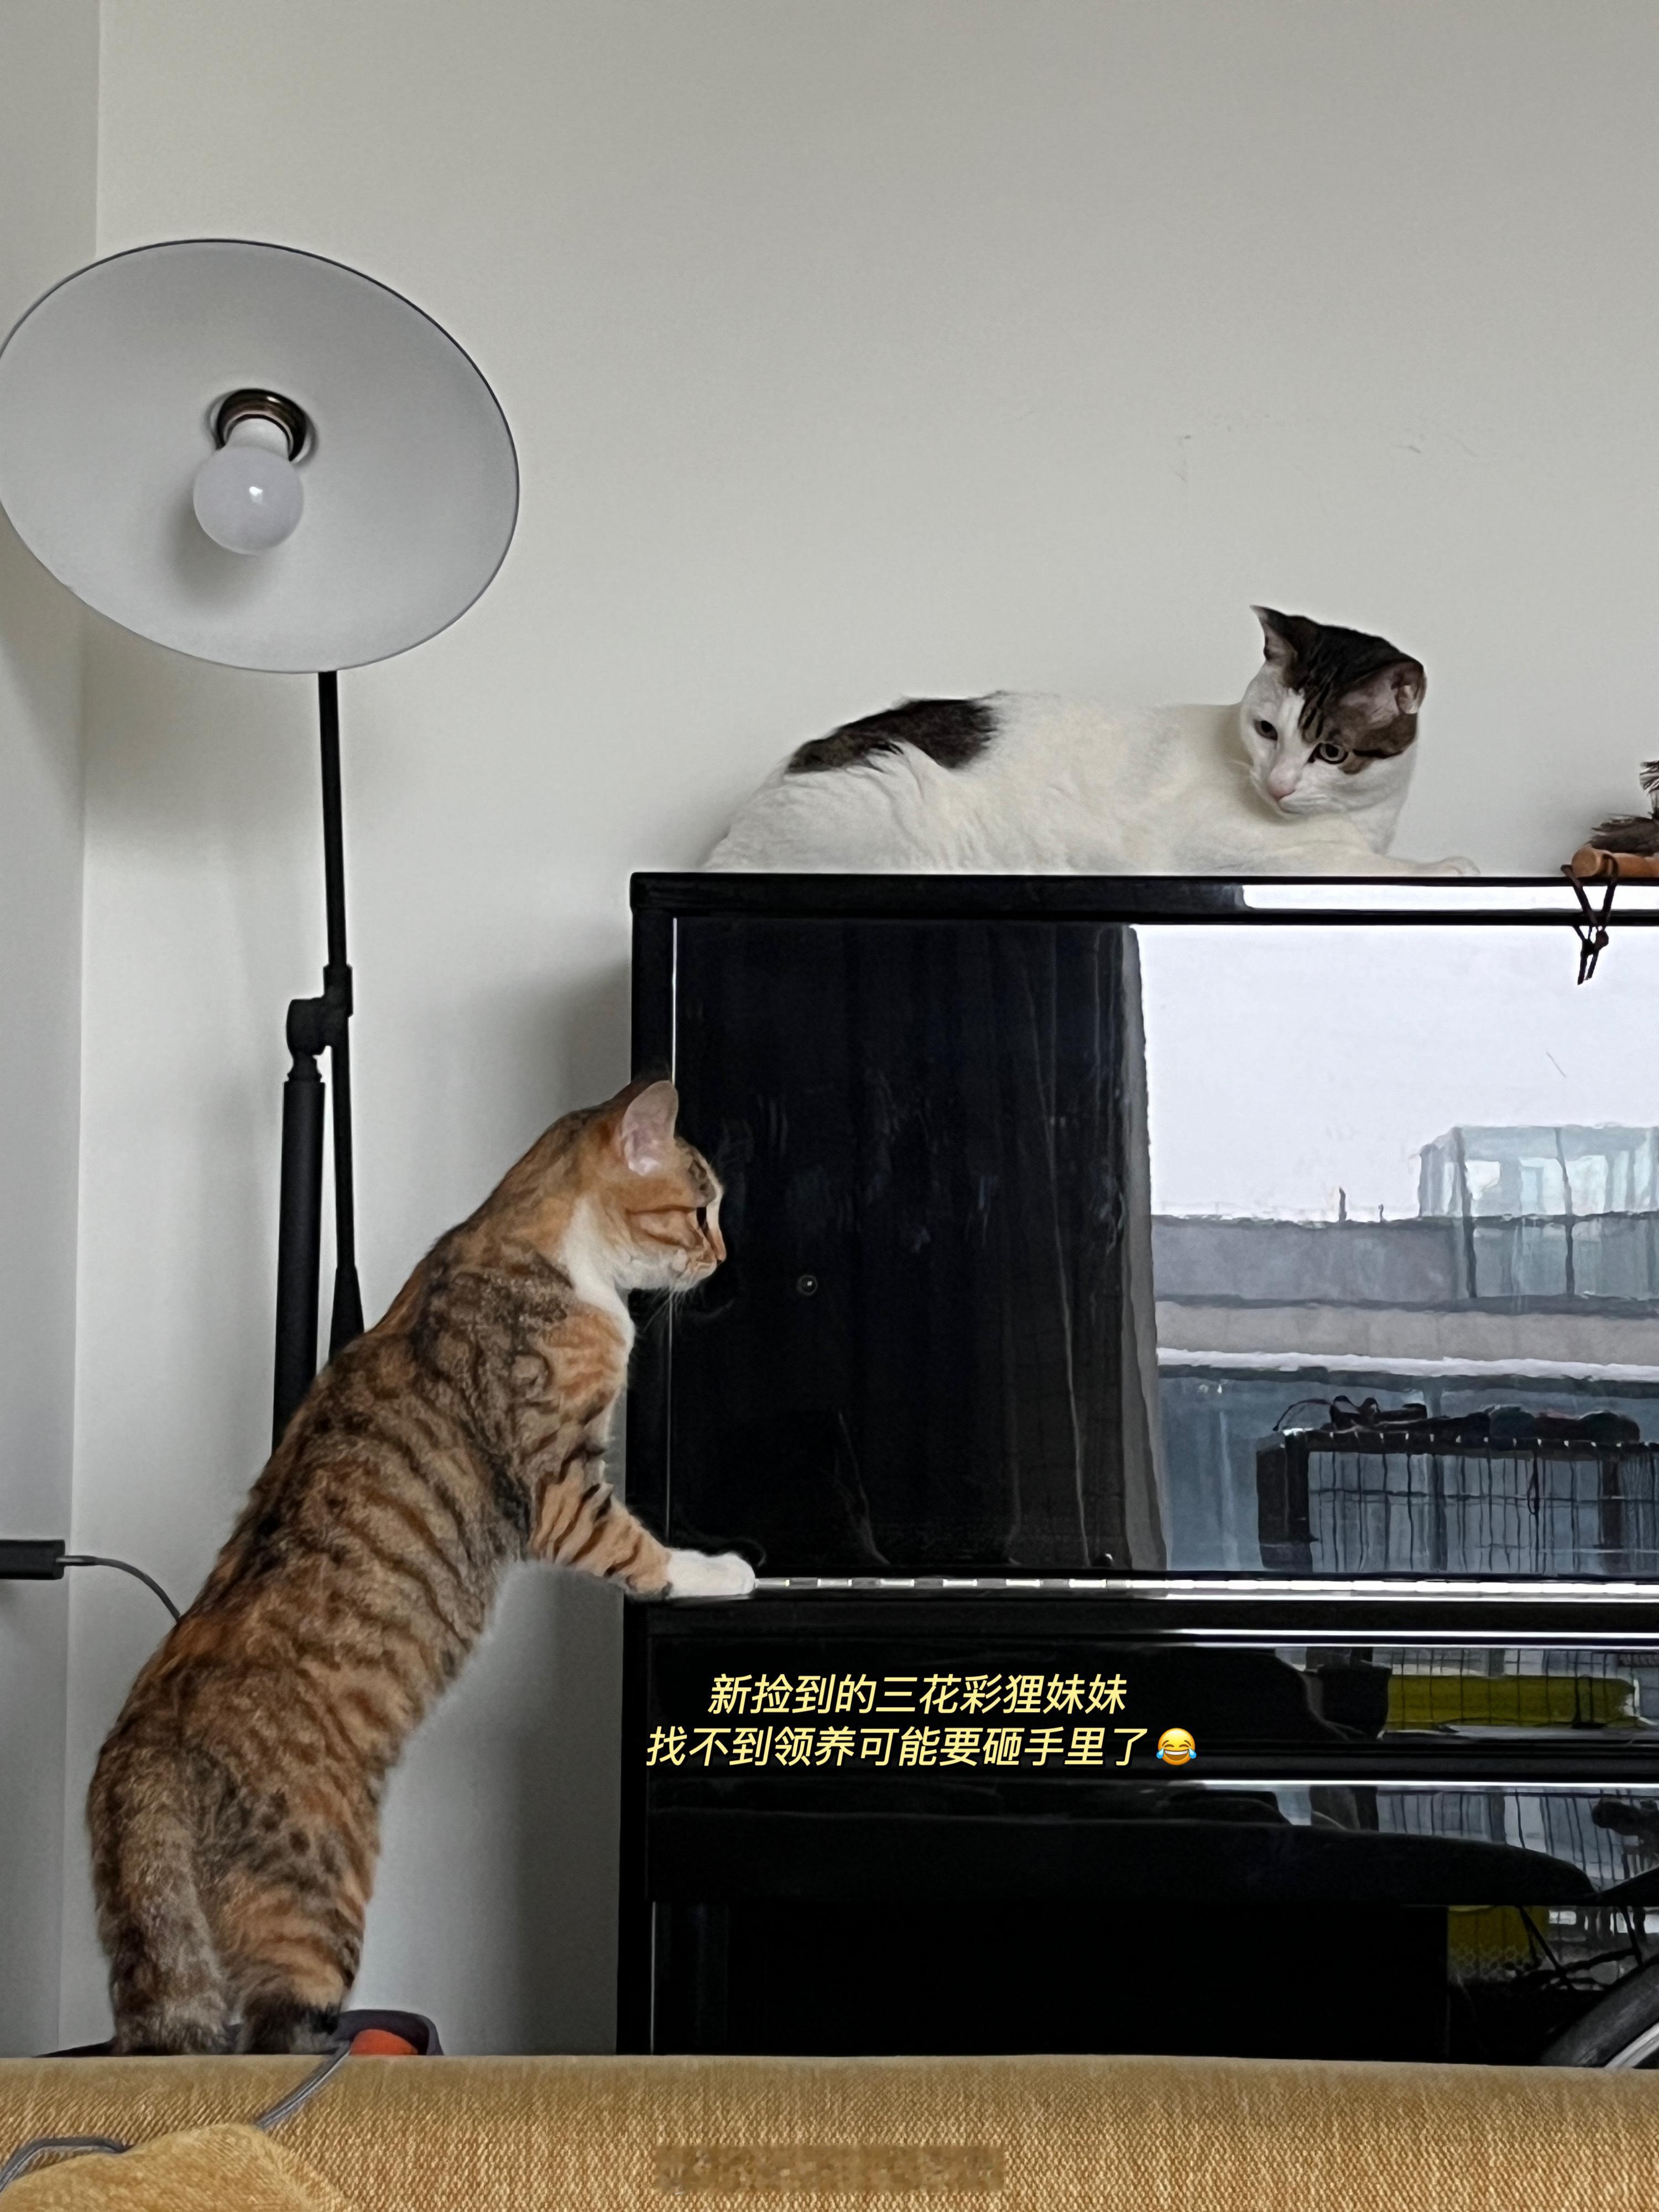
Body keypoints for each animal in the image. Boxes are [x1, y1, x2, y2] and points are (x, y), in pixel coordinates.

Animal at [87, 1078, 753, 2056]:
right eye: (699, 1209)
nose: (724, 1255)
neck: (544, 1249)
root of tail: (138, 1754)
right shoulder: (560, 1488)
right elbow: (639, 1549)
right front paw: (719, 1570)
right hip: (315, 1908)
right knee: (276, 2038)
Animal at [706, 608, 1477, 877]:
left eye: (1331, 752)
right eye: (1268, 731)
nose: (1279, 784)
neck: (1366, 819)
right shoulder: (1241, 855)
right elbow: (1365, 865)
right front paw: (1446, 864)